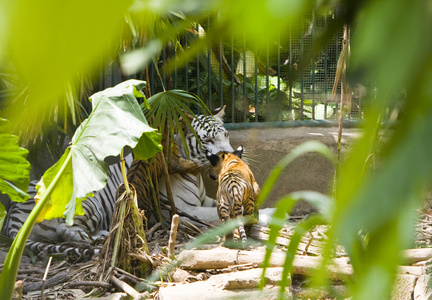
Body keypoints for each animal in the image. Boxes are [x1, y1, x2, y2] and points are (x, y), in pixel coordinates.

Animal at [0, 106, 233, 256]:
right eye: (208, 140)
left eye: (226, 135)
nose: (231, 155)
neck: (196, 172)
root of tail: (12, 215)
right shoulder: (184, 211)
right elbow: (214, 214)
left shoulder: (204, 200)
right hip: (87, 202)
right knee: (64, 230)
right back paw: (96, 239)